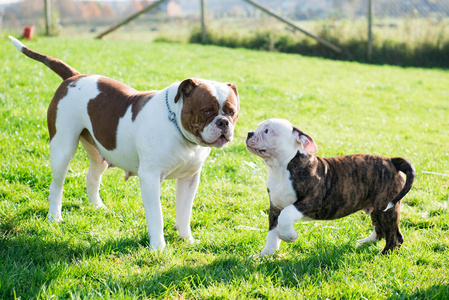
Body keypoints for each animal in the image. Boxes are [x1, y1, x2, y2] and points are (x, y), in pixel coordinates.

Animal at [245, 118, 412, 256]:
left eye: (267, 131)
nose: (249, 133)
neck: (280, 168)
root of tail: (391, 161)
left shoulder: (312, 201)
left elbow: (286, 214)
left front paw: (289, 236)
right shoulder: (275, 207)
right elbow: (272, 232)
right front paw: (265, 254)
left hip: (386, 207)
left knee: (395, 236)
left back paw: (382, 255)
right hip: (377, 207)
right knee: (380, 229)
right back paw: (364, 242)